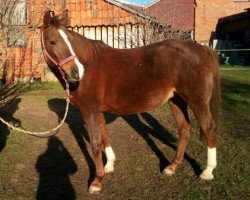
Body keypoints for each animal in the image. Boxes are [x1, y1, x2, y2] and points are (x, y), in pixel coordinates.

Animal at [41, 10, 221, 194]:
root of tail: (202, 48)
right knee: (184, 129)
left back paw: (207, 171)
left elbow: (96, 144)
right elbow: (104, 136)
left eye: (70, 41)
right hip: (176, 100)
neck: (90, 65)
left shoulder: (89, 111)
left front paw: (97, 181)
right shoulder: (97, 111)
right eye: (52, 42)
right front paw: (109, 165)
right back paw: (172, 166)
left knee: (209, 128)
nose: (76, 72)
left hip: (197, 101)